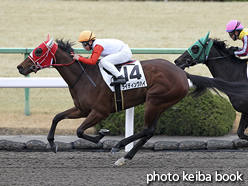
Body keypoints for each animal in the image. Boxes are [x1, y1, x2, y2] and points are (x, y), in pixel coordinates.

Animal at [18, 37, 248, 165]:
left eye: (38, 51)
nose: (20, 67)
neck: (84, 75)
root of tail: (183, 74)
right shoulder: (81, 109)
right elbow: (57, 118)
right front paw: (52, 143)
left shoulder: (99, 111)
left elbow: (80, 131)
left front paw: (101, 135)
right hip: (162, 103)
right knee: (149, 131)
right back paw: (125, 157)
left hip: (155, 100)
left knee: (146, 129)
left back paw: (119, 146)